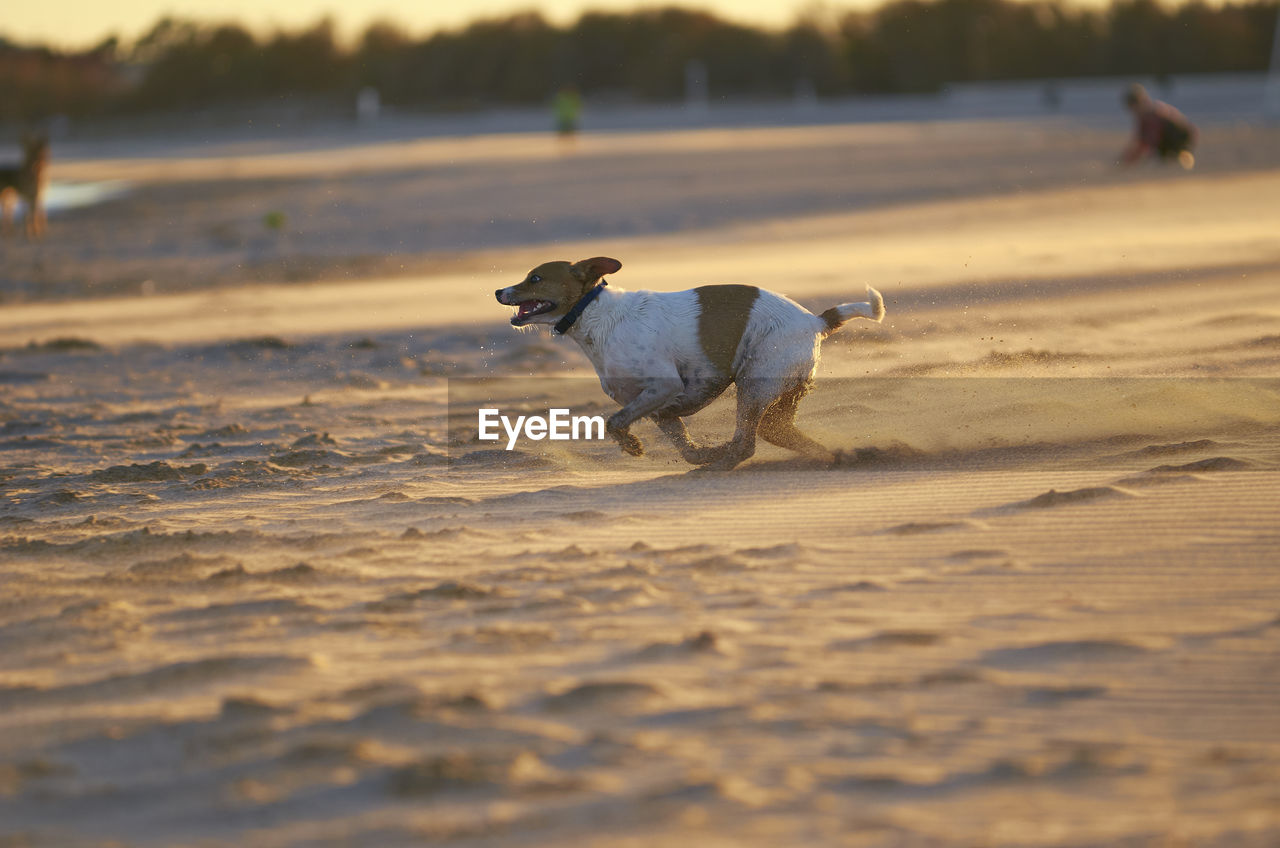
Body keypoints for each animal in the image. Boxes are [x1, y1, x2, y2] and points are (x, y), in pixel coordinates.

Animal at [494, 257, 885, 471]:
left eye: (535, 278)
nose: (498, 291)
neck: (594, 314)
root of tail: (816, 321)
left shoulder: (664, 387)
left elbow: (614, 422)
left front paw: (632, 446)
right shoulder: (657, 406)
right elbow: (684, 446)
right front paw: (704, 452)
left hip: (755, 384)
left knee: (747, 443)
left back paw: (719, 468)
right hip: (780, 389)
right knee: (776, 431)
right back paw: (831, 456)